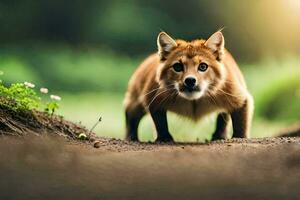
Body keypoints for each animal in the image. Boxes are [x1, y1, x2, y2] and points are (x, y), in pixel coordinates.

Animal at [123, 30, 253, 142]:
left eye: (203, 66)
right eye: (177, 67)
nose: (190, 80)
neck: (194, 101)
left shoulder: (241, 98)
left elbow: (240, 124)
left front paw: (239, 137)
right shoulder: (152, 98)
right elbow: (160, 123)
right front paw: (165, 138)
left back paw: (219, 136)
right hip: (135, 102)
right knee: (130, 116)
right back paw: (131, 138)